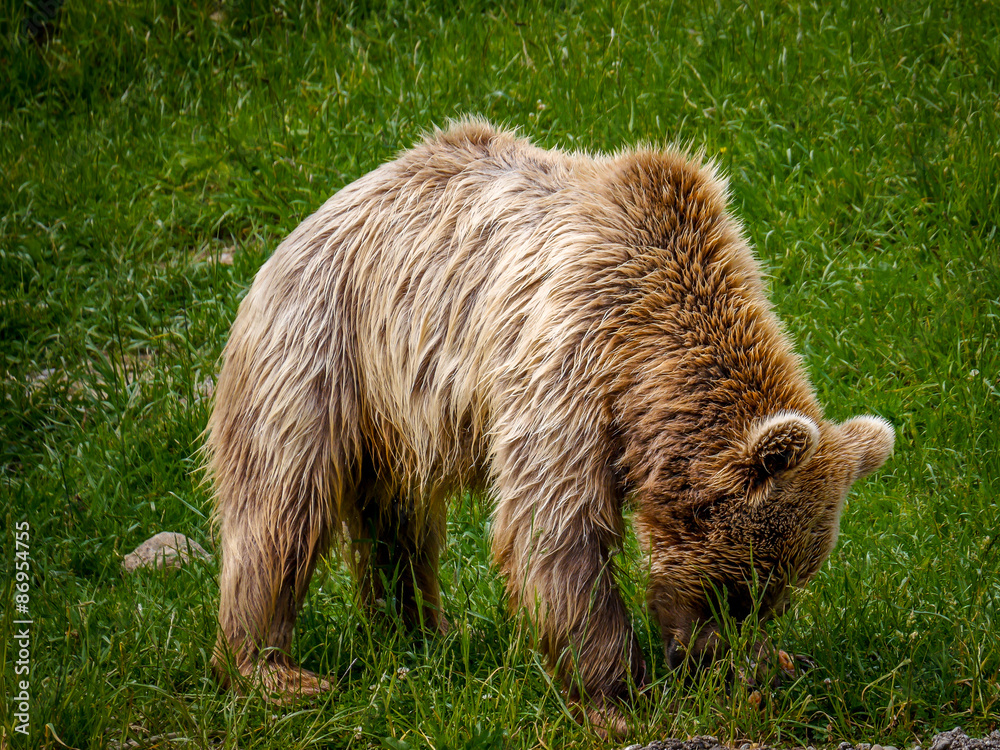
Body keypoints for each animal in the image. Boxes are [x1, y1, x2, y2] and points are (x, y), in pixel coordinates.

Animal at [204, 118, 894, 721]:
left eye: (774, 596)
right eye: (739, 586)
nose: (703, 658)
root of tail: (310, 218)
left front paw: (772, 667)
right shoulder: (571, 354)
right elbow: (558, 526)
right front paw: (619, 699)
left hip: (395, 410)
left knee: (399, 521)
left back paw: (423, 633)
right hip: (320, 352)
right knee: (281, 505)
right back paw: (271, 670)